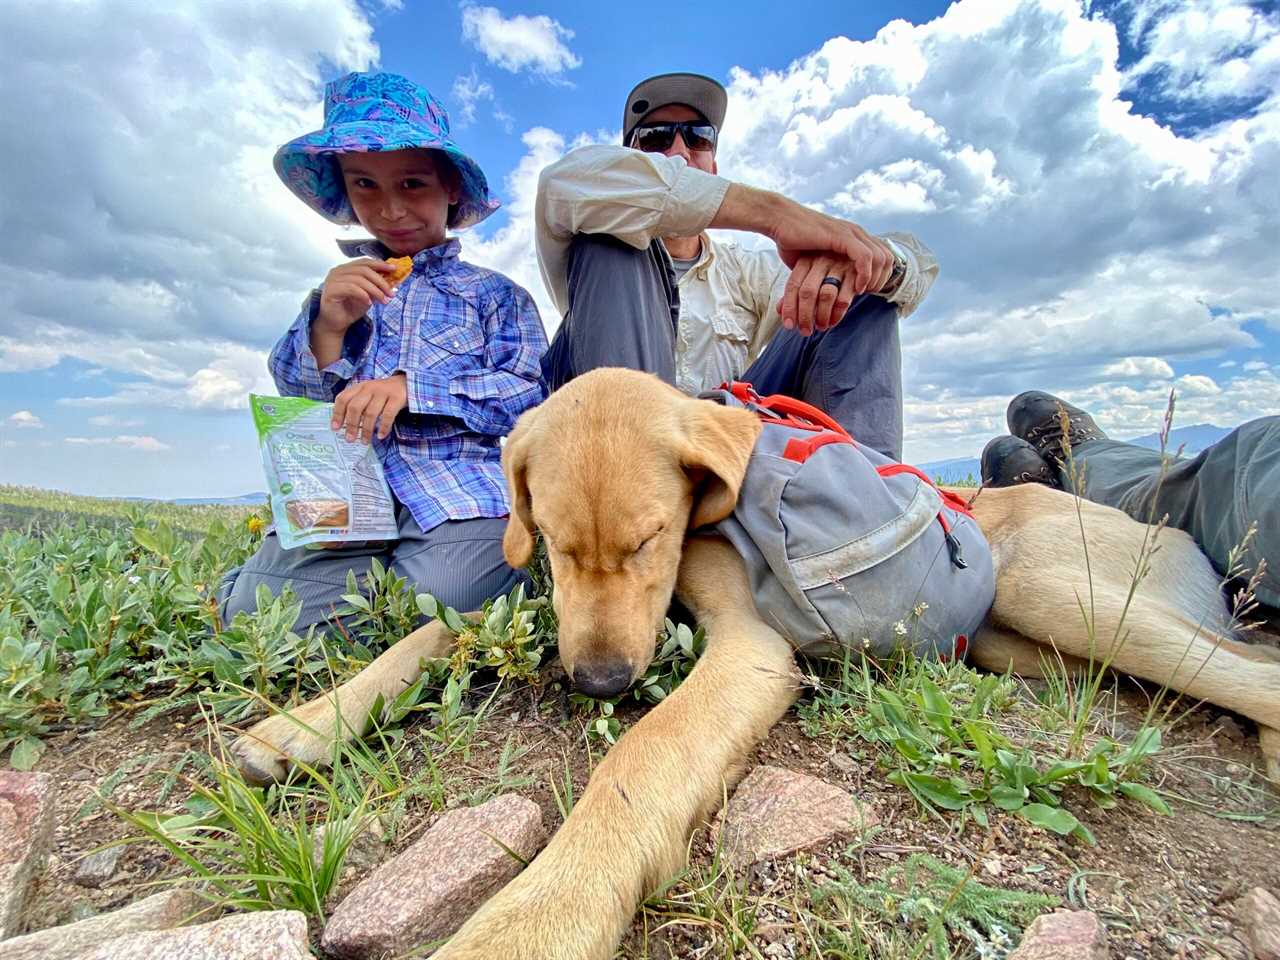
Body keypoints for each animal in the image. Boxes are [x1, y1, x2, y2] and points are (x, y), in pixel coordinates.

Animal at [232, 366, 1280, 957]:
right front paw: (300, 727)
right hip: (1012, 638)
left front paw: (532, 921)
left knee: (1250, 671)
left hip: (1066, 595)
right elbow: (433, 632)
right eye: (557, 544)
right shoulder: (547, 607)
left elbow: (642, 757)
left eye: (649, 540)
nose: (599, 684)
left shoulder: (749, 651)